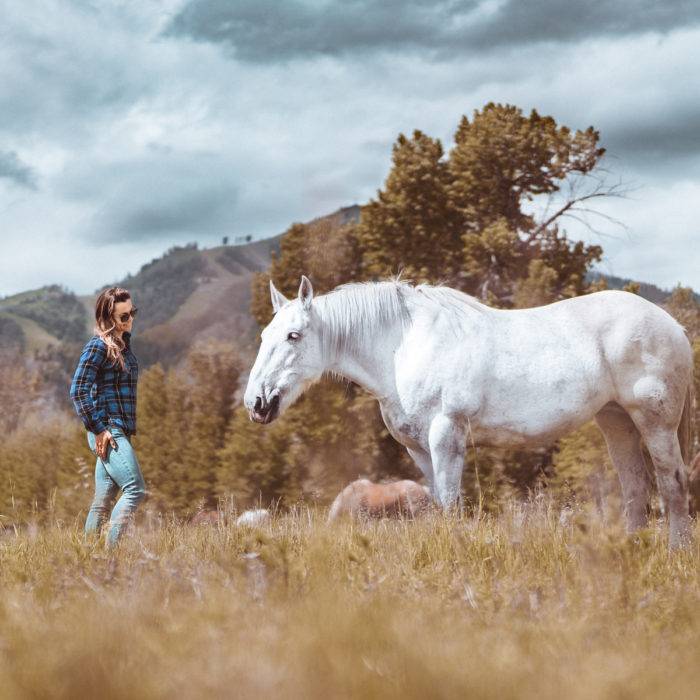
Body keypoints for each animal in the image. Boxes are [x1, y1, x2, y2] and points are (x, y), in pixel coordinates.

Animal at [245, 276, 696, 544]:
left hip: (654, 422)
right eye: (265, 335)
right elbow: (436, 500)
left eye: (293, 335)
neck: (404, 346)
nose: (257, 403)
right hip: (616, 421)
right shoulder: (419, 448)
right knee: (637, 487)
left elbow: (449, 501)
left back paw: (676, 549)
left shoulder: (447, 434)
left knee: (671, 483)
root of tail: (671, 325)